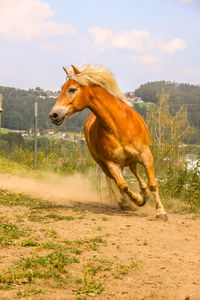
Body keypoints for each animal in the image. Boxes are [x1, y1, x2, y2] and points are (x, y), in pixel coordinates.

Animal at [49, 65, 168, 220]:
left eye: (72, 89)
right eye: (62, 88)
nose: (54, 115)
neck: (119, 125)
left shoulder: (146, 156)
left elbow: (153, 184)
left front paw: (161, 212)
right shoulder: (111, 163)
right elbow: (123, 185)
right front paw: (138, 200)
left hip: (132, 159)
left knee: (134, 171)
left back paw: (143, 194)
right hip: (105, 164)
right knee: (119, 181)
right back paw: (130, 200)